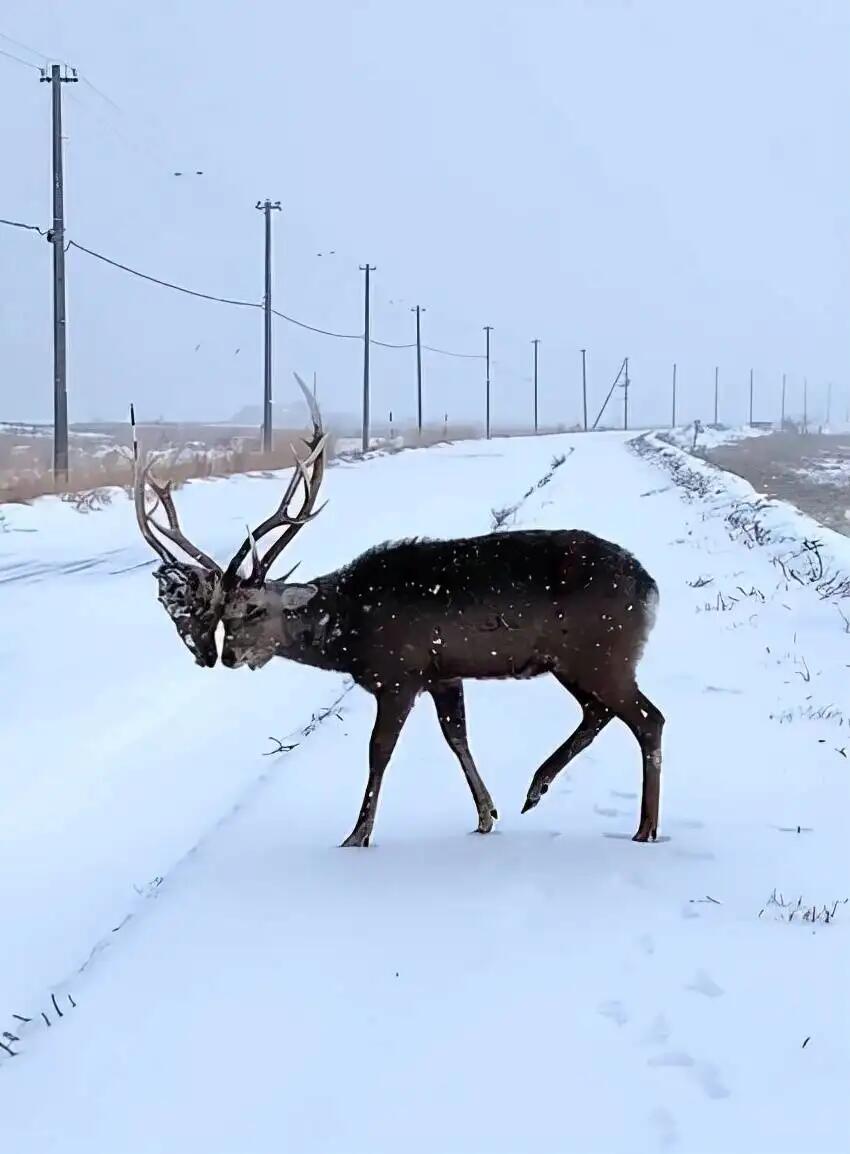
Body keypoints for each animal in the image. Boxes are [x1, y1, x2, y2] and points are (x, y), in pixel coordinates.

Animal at [134, 376, 664, 849]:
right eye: (221, 613)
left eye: (256, 608)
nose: (227, 657)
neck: (351, 631)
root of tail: (650, 586)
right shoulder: (444, 672)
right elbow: (457, 737)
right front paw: (486, 815)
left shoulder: (398, 673)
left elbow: (378, 751)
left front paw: (357, 834)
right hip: (578, 660)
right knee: (600, 713)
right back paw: (537, 788)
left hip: (601, 651)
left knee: (647, 718)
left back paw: (643, 827)